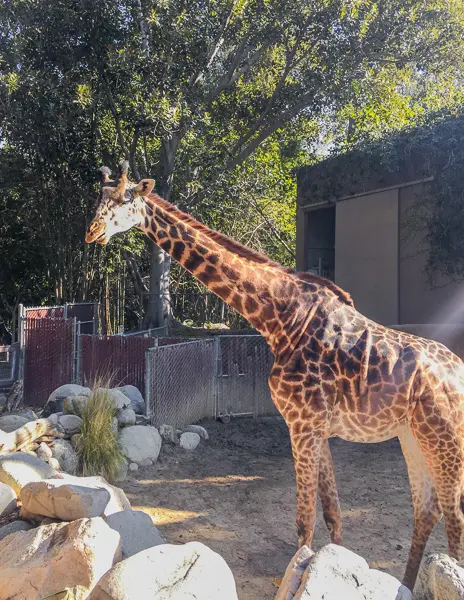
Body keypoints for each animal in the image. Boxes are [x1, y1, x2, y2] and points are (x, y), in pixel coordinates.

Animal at [86, 162, 464, 592]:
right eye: (98, 197)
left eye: (124, 198)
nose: (91, 232)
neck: (279, 318)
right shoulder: (316, 427)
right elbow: (332, 515)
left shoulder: (302, 424)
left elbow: (304, 523)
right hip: (412, 438)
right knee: (427, 511)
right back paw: (405, 585)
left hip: (445, 440)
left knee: (454, 519)